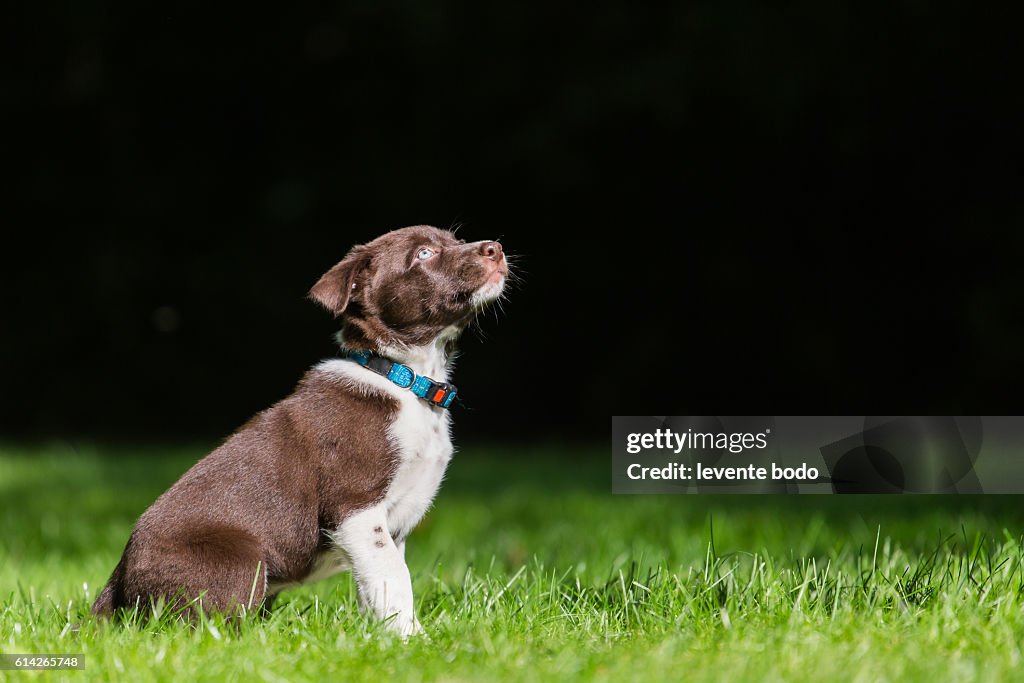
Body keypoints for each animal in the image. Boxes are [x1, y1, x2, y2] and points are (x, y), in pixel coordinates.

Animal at [94, 225, 509, 634]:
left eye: (456, 241)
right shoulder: (355, 506)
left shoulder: (390, 526)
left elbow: (379, 582)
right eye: (424, 254)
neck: (404, 380)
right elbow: (394, 576)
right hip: (241, 560)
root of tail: (116, 580)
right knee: (207, 625)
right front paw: (411, 639)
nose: (495, 248)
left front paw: (382, 636)